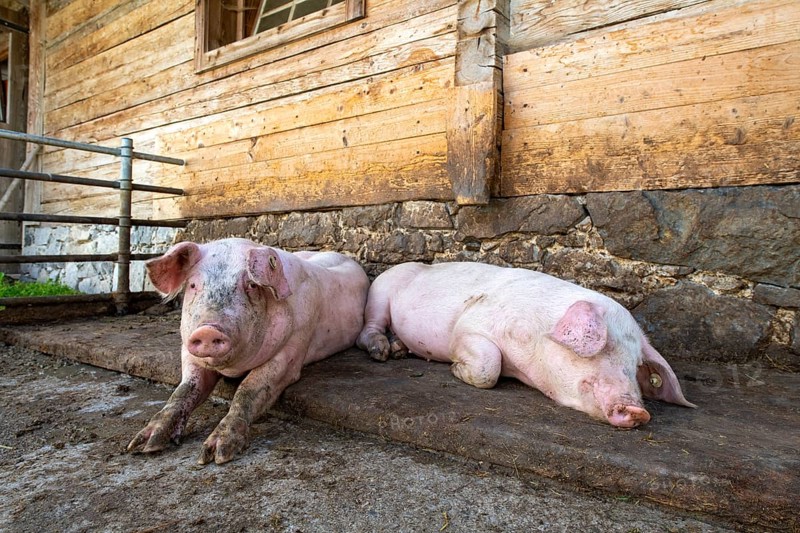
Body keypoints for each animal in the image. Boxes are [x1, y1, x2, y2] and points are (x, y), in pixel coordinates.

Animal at [128, 238, 369, 464]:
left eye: (251, 286)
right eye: (193, 285)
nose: (207, 330)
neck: (233, 369)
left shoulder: (292, 350)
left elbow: (248, 389)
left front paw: (216, 454)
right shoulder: (188, 352)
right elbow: (184, 389)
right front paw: (141, 446)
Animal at [357, 262, 695, 428]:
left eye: (635, 364)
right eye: (605, 347)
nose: (638, 411)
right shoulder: (468, 327)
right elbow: (488, 367)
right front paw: (455, 368)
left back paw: (399, 349)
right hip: (380, 293)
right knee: (367, 330)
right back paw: (382, 352)